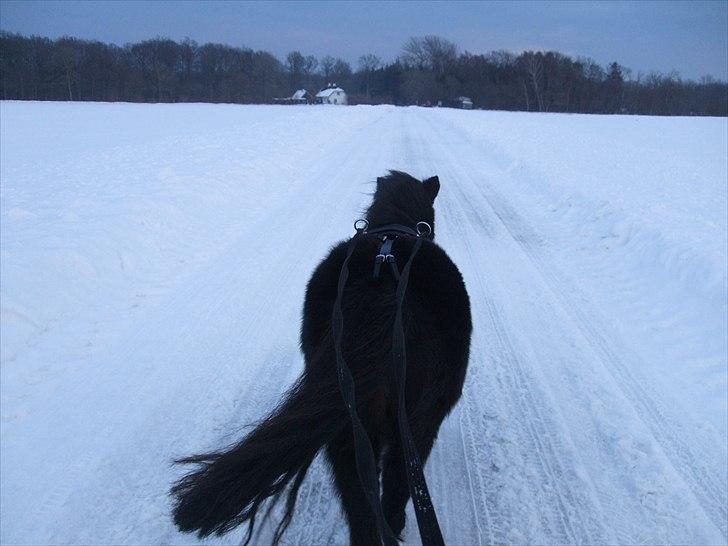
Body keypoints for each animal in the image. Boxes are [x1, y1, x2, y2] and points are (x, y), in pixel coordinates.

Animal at [173, 171, 474, 544]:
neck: (391, 230)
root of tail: (382, 293)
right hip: (416, 423)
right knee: (395, 491)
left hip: (348, 430)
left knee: (363, 512)